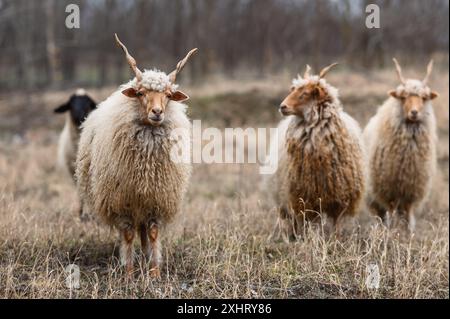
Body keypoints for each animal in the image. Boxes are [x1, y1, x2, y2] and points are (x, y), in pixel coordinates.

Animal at [75, 33, 197, 276]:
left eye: (168, 95)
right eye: (141, 93)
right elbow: (128, 234)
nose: (157, 112)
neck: (146, 167)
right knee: (130, 232)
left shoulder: (155, 199)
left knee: (143, 231)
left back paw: (146, 255)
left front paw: (154, 272)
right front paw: (130, 273)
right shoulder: (122, 202)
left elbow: (153, 233)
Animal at [364, 58, 438, 232]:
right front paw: (391, 233)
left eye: (424, 98)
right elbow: (390, 215)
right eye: (403, 97)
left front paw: (408, 233)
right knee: (380, 216)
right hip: (373, 195)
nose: (414, 112)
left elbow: (408, 217)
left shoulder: (410, 191)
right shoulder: (389, 191)